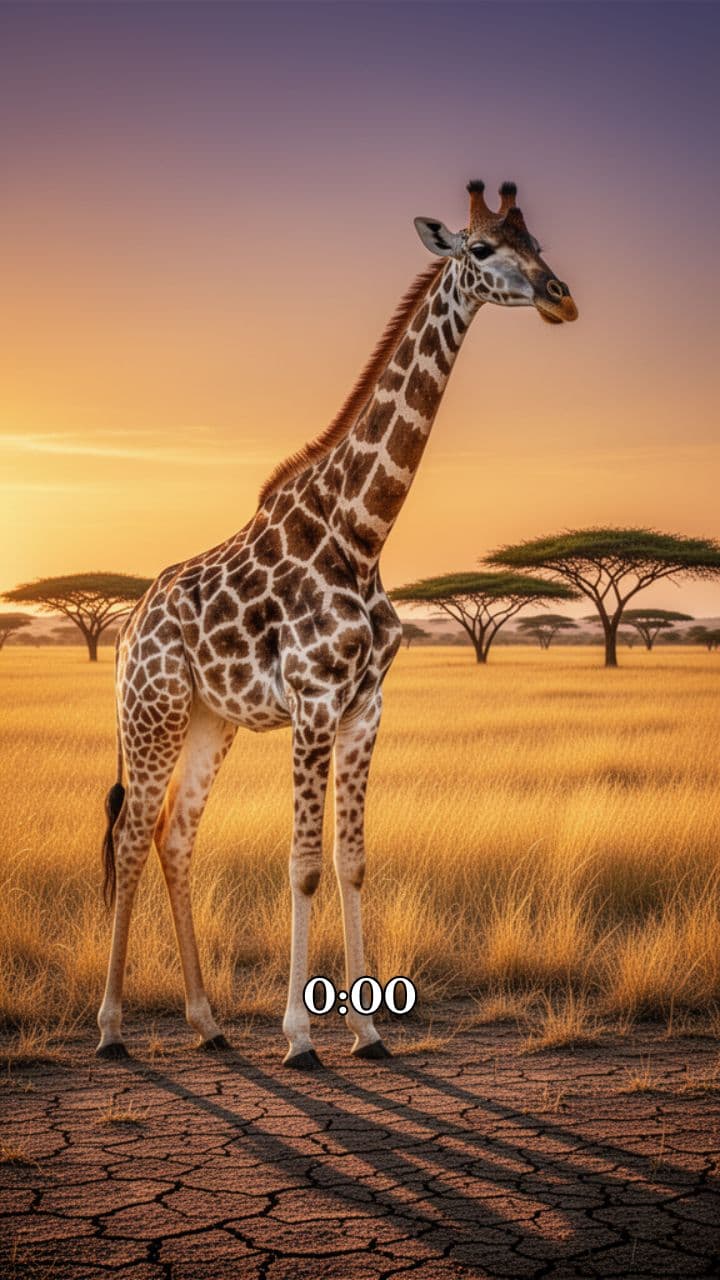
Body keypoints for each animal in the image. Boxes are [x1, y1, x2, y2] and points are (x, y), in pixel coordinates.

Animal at [97, 179, 578, 1068]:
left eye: (537, 242)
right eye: (482, 249)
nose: (561, 298)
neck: (361, 530)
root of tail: (128, 625)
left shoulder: (365, 708)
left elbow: (351, 861)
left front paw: (368, 1029)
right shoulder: (314, 704)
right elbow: (303, 864)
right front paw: (298, 1036)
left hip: (211, 719)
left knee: (175, 836)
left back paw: (207, 1022)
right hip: (154, 712)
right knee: (132, 834)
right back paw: (111, 1028)